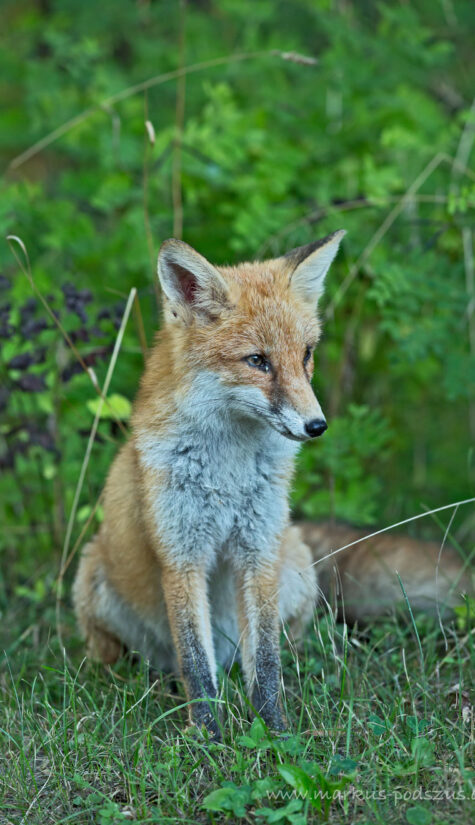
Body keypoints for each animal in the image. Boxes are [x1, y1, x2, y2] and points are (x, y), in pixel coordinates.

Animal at [73, 232, 470, 739]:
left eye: (306, 355)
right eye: (257, 361)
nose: (316, 425)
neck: (228, 473)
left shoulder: (259, 547)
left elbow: (265, 661)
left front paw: (275, 732)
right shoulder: (182, 554)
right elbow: (196, 664)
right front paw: (208, 736)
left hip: (294, 562)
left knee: (278, 647)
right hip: (93, 581)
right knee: (155, 661)